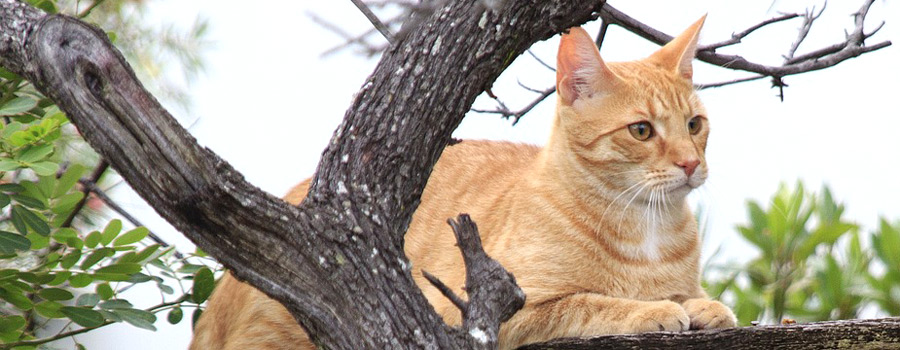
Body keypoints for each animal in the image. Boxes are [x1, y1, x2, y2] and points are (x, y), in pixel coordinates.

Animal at [193, 17, 736, 350]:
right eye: (641, 131)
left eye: (694, 125)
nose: (691, 163)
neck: (647, 226)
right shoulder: (498, 314)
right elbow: (590, 303)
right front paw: (652, 309)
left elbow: (687, 295)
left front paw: (704, 306)